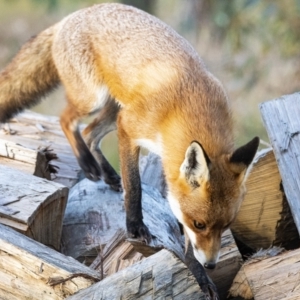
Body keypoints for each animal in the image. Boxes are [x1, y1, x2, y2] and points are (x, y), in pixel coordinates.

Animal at [0, 1, 258, 284]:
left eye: (226, 226)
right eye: (199, 224)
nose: (211, 265)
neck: (186, 107)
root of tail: (74, 16)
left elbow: (183, 236)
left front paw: (198, 273)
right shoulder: (129, 128)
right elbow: (134, 187)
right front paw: (135, 227)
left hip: (115, 107)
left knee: (89, 132)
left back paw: (107, 174)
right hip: (95, 99)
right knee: (67, 121)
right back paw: (88, 165)